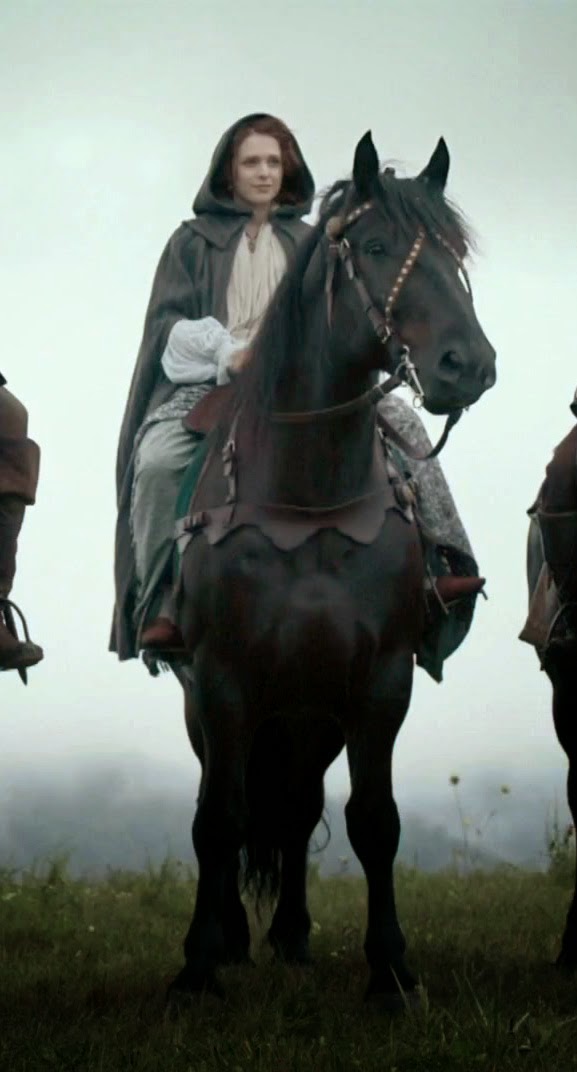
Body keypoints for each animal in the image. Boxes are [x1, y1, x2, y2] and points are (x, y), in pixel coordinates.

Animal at [170, 132, 497, 1007]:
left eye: (456, 256)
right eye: (377, 247)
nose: (467, 365)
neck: (308, 503)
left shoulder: (378, 682)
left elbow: (372, 822)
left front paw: (391, 971)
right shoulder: (223, 681)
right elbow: (217, 819)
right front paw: (197, 966)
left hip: (310, 712)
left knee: (295, 802)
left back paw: (288, 934)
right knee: (236, 802)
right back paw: (234, 936)